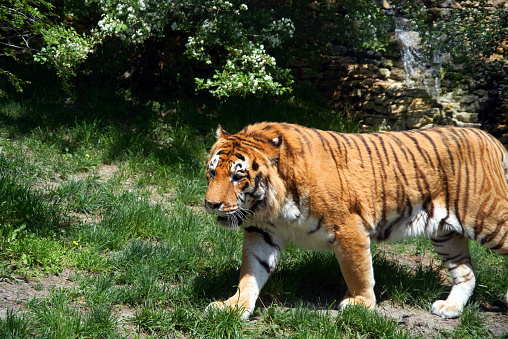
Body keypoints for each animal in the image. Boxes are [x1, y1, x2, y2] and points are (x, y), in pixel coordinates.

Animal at [203, 123, 508, 322]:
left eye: (237, 176)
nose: (210, 204)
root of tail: (490, 138)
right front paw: (234, 306)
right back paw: (451, 308)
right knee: (466, 272)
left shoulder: (348, 228)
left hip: (488, 219)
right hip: (445, 233)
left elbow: (357, 270)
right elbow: (250, 273)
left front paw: (361, 304)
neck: (270, 205)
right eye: (212, 172)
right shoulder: (262, 231)